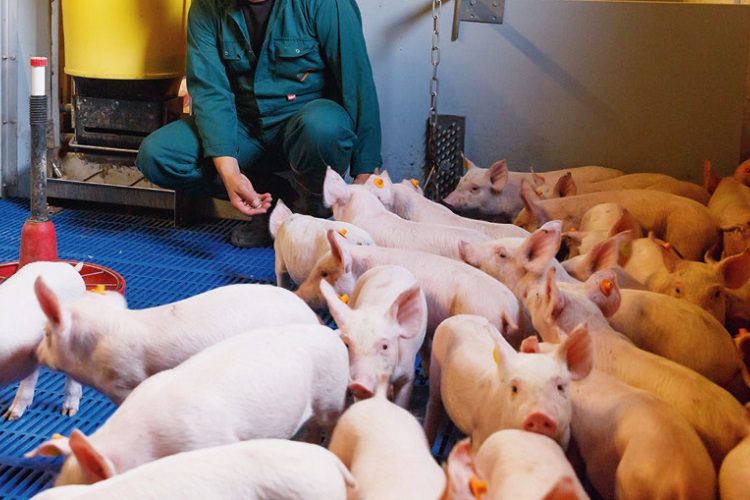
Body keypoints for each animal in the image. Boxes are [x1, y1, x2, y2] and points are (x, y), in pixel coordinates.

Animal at [319, 265, 428, 406]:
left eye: (385, 346)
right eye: (346, 345)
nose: (359, 384)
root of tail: (389, 266)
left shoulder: (408, 373)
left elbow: (402, 401)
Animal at [423, 314, 593, 452]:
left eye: (560, 387)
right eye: (515, 388)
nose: (538, 415)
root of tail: (458, 317)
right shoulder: (481, 433)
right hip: (436, 369)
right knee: (434, 403)